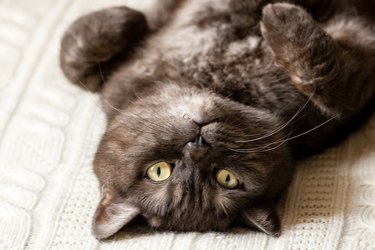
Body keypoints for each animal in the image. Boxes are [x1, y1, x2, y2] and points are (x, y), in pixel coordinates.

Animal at [58, 0, 375, 240]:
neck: (216, 80)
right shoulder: (345, 93)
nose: (197, 144)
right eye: (159, 171)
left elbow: (74, 61)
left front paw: (131, 19)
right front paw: (280, 16)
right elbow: (333, 81)